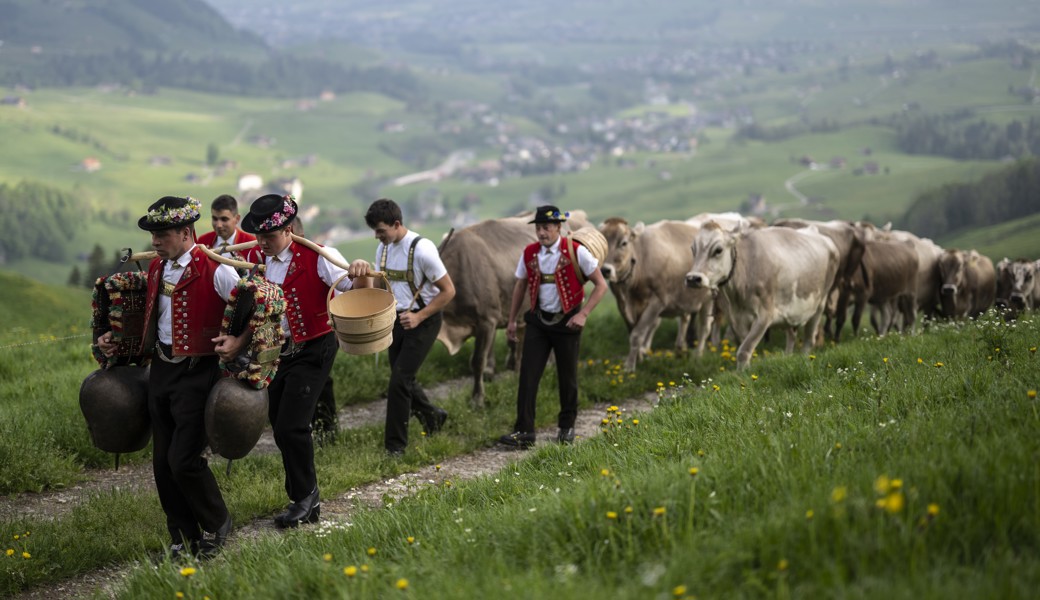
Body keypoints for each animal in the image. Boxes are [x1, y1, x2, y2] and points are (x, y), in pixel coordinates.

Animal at [599, 218, 711, 370]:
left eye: (623, 243)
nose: (605, 270)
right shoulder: (622, 305)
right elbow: (633, 331)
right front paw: (639, 358)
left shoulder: (658, 301)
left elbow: (637, 334)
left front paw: (629, 366)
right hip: (685, 296)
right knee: (685, 319)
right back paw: (679, 349)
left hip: (709, 298)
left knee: (705, 328)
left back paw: (698, 356)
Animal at [686, 222, 840, 368]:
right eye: (693, 249)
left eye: (718, 250)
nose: (693, 278)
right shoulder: (735, 318)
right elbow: (744, 346)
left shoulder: (765, 314)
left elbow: (744, 351)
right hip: (790, 308)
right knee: (791, 335)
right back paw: (787, 358)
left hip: (820, 303)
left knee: (809, 338)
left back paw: (805, 358)